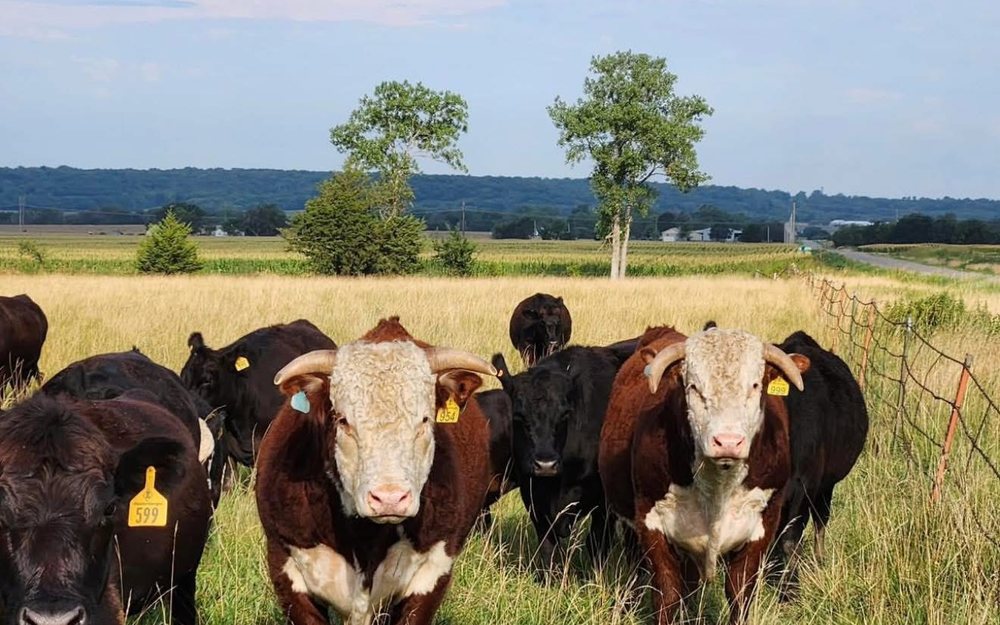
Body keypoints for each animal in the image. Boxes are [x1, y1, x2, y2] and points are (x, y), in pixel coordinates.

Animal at [255, 317, 497, 625]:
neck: (364, 540)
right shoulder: (286, 569)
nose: (389, 498)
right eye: (343, 420)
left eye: (425, 419)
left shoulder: (432, 574)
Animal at [491, 345, 624, 575]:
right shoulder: (533, 497)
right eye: (519, 416)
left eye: (564, 415)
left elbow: (597, 544)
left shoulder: (605, 503)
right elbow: (548, 549)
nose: (545, 464)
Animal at [599, 326, 809, 624]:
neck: (718, 485)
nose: (728, 441)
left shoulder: (762, 526)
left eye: (755, 386)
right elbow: (667, 594)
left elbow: (739, 593)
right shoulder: (651, 523)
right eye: (694, 387)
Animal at [771, 330, 868, 595]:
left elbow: (790, 539)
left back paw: (819, 559)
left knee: (820, 520)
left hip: (826, 485)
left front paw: (790, 590)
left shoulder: (804, 486)